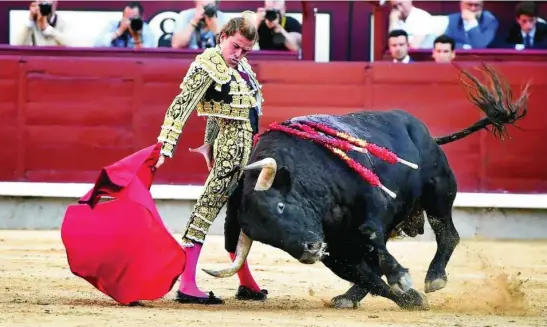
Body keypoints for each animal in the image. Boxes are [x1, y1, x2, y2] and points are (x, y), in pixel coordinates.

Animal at [202, 62, 532, 312]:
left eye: (281, 206)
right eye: (266, 238)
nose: (309, 250)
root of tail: (425, 132)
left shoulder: (372, 209)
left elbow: (372, 239)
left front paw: (403, 280)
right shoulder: (335, 251)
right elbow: (371, 278)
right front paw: (409, 298)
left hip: (438, 191)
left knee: (447, 234)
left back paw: (435, 277)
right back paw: (351, 297)